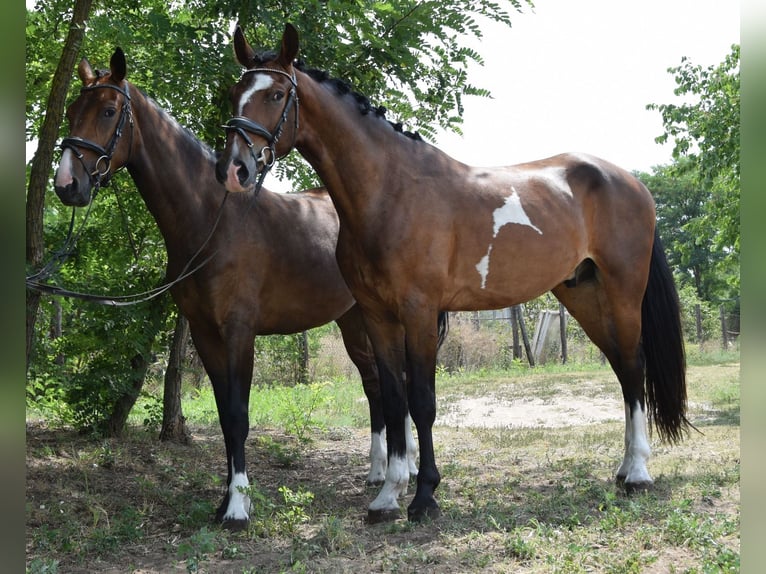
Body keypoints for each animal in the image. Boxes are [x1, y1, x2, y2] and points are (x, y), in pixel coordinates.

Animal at [52, 47, 442, 529]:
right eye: (72, 110)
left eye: (108, 111)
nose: (67, 184)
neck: (212, 220)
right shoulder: (205, 334)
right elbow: (224, 416)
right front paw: (225, 502)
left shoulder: (239, 330)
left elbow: (239, 415)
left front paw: (238, 507)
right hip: (354, 320)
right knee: (375, 386)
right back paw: (379, 474)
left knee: (399, 384)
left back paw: (404, 474)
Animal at [215, 24, 690, 524]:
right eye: (234, 93)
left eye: (277, 93)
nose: (233, 169)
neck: (391, 192)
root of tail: (631, 182)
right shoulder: (378, 316)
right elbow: (393, 401)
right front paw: (388, 495)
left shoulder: (420, 311)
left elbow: (422, 402)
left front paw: (424, 496)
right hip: (583, 295)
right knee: (622, 369)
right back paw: (623, 469)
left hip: (623, 291)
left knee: (634, 367)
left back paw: (638, 473)